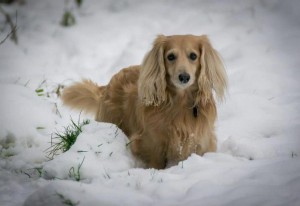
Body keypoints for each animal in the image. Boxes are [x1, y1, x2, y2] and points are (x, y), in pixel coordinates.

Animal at [61, 34, 227, 169]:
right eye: (170, 56)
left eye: (193, 56)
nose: (184, 77)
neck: (179, 103)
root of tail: (107, 86)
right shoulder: (151, 142)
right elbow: (155, 161)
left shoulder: (201, 141)